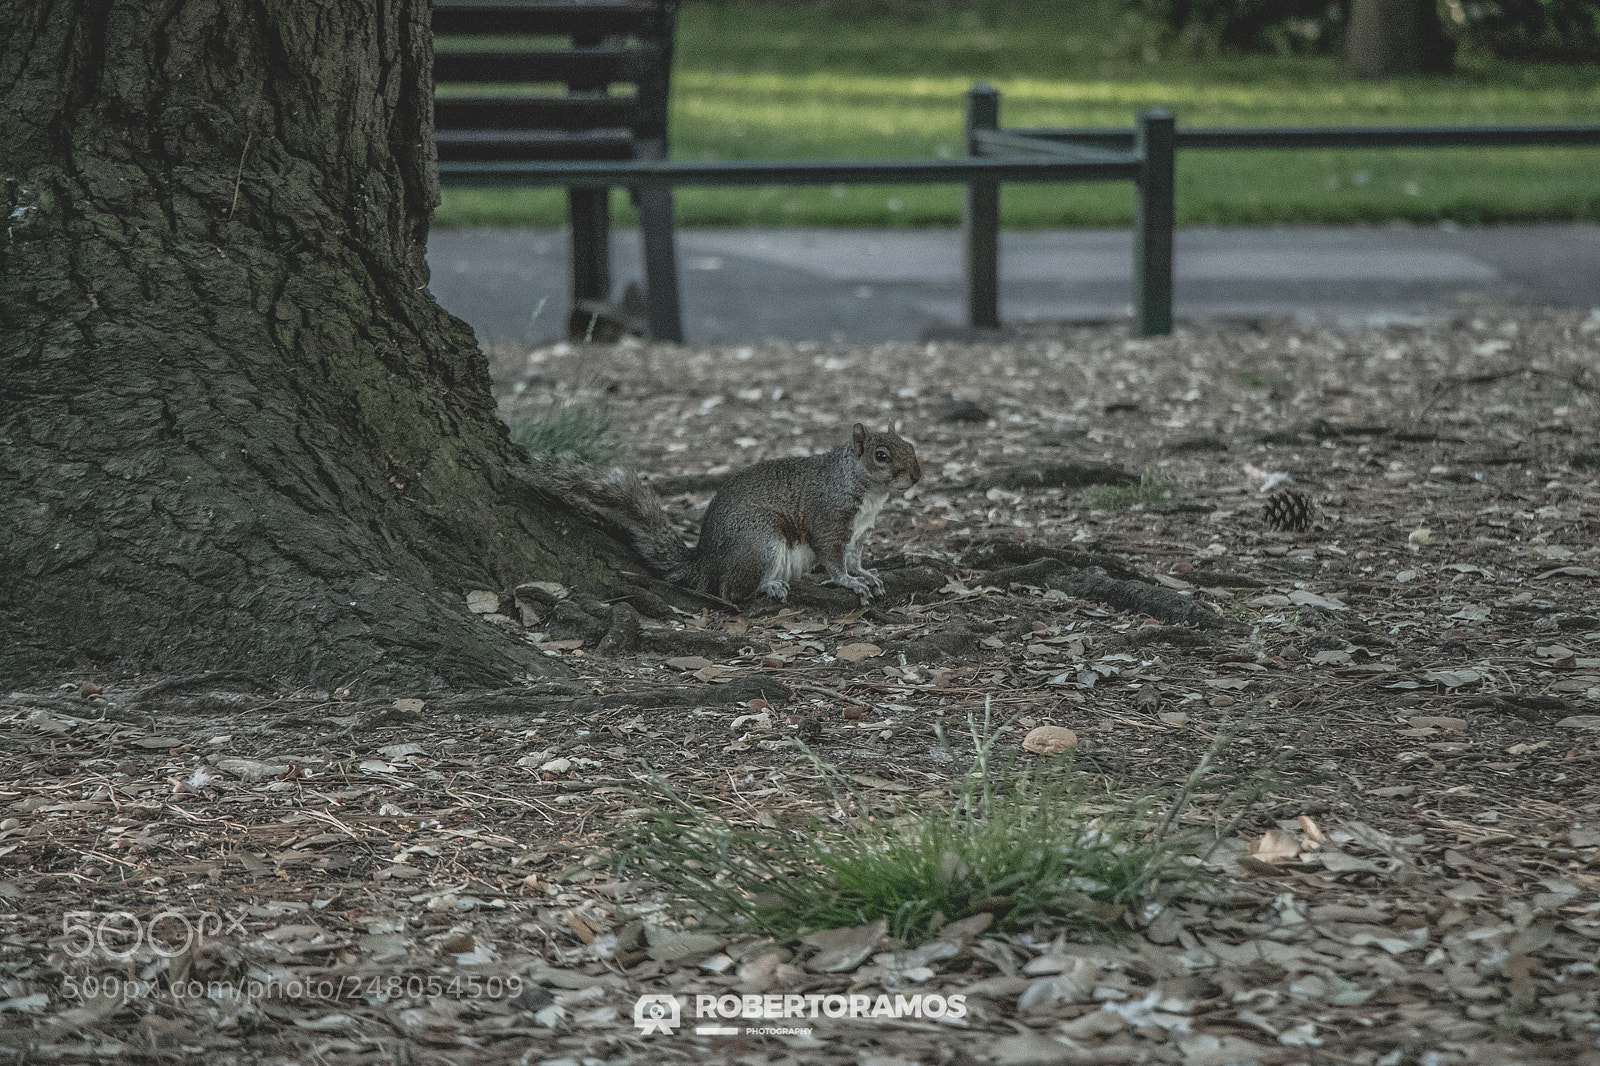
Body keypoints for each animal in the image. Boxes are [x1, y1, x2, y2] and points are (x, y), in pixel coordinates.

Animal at [528, 423, 922, 604]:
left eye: (911, 446)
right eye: (881, 456)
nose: (917, 476)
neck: (868, 491)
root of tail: (705, 563)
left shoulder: (859, 531)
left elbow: (854, 558)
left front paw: (866, 574)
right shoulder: (828, 519)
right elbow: (834, 560)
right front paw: (850, 582)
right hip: (760, 541)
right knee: (731, 591)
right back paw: (768, 585)